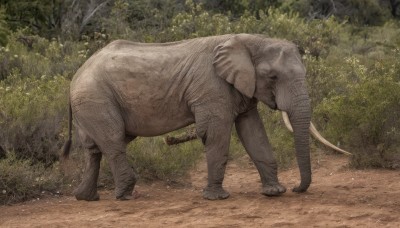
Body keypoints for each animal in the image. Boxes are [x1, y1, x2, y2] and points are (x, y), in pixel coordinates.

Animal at [61, 33, 346, 201]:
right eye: (273, 77)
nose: (298, 188)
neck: (248, 40)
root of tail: (75, 75)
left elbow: (253, 133)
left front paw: (274, 192)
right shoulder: (212, 89)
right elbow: (216, 133)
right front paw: (217, 198)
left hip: (93, 101)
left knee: (95, 148)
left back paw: (86, 198)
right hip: (96, 97)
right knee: (113, 141)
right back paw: (124, 195)